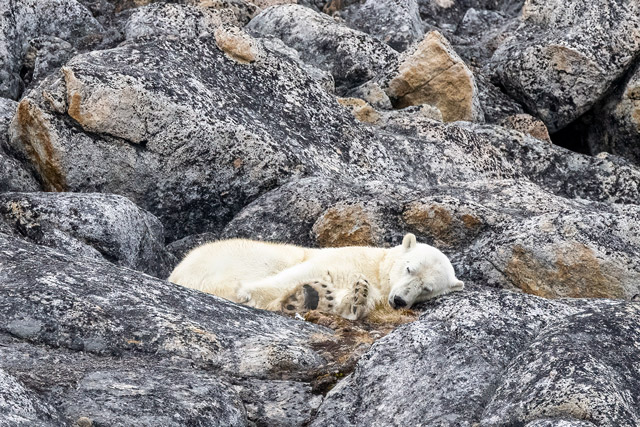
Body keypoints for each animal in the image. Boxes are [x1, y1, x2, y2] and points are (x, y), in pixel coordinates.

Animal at [168, 233, 464, 320]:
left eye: (427, 288)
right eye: (409, 268)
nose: (400, 301)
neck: (377, 268)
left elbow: (358, 301)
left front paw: (356, 297)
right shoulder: (340, 258)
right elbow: (308, 270)